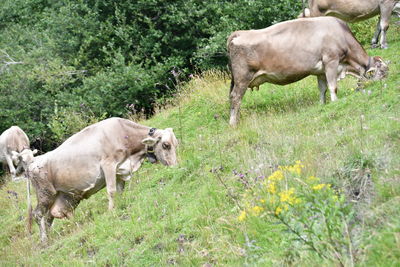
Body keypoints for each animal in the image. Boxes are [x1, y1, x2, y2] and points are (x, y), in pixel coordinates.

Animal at [14, 118, 177, 244]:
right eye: (165, 145)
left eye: (176, 144)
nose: (175, 166)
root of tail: (32, 163)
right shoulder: (108, 165)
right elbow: (111, 190)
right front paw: (111, 210)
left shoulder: (119, 171)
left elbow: (119, 190)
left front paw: (121, 204)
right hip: (45, 194)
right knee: (38, 214)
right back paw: (44, 240)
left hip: (63, 196)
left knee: (52, 215)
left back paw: (60, 233)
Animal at [228, 17, 388, 127]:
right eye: (382, 71)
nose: (385, 85)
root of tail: (239, 33)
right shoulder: (331, 61)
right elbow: (333, 86)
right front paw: (335, 102)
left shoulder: (321, 71)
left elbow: (322, 89)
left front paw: (322, 105)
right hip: (243, 77)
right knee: (236, 97)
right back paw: (233, 123)